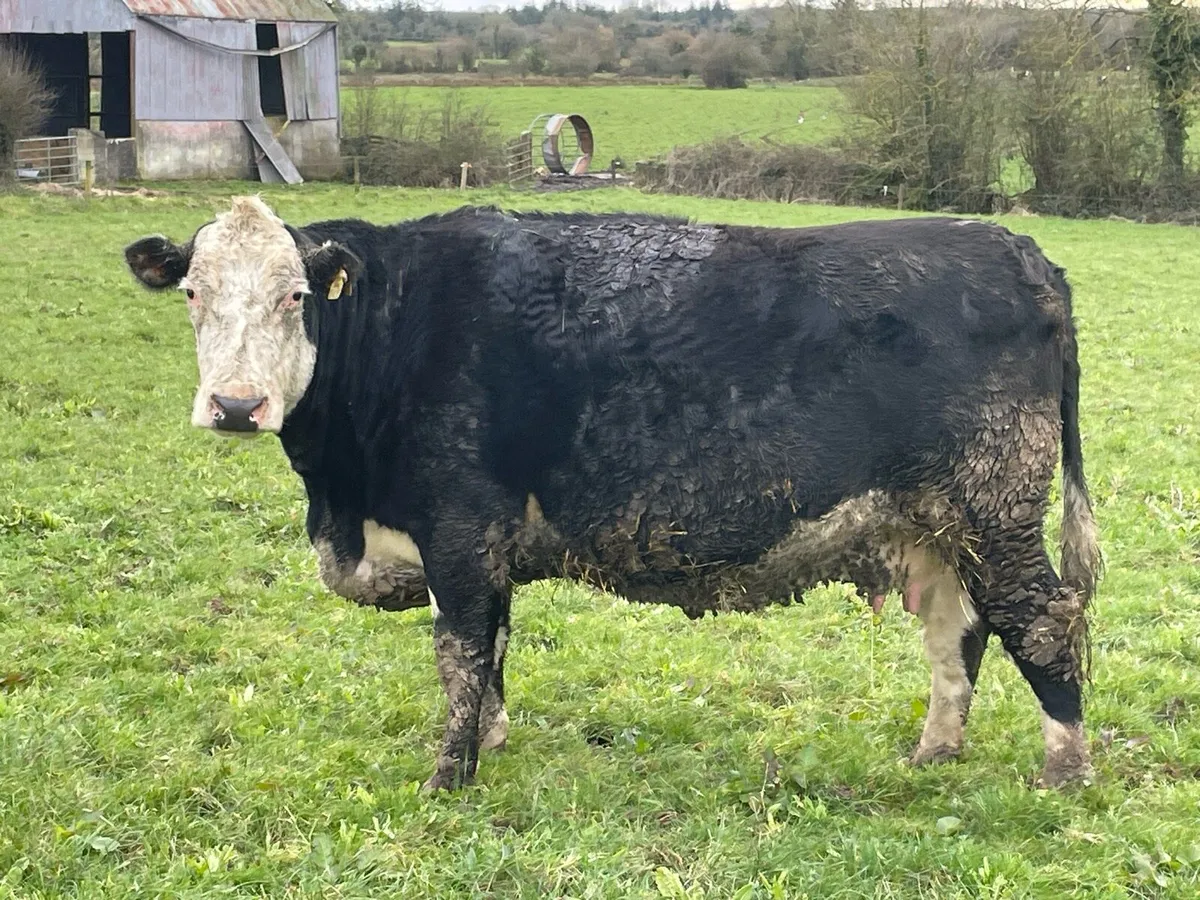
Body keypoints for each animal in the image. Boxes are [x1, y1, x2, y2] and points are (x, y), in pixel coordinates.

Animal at [124, 196, 1101, 792]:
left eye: (295, 297)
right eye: (193, 292)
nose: (236, 406)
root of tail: (1013, 246)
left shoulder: (459, 527)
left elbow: (460, 652)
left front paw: (448, 776)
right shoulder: (485, 546)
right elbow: (494, 649)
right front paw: (493, 742)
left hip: (994, 505)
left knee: (1042, 620)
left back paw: (1064, 769)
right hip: (933, 525)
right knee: (957, 632)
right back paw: (933, 754)